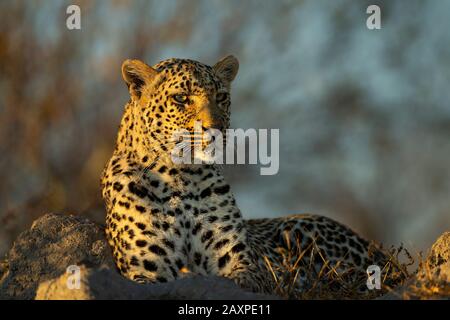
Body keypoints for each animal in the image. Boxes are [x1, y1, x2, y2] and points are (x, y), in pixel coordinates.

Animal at [102, 55, 400, 298]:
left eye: (221, 97)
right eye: (181, 98)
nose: (216, 129)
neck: (181, 176)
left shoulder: (239, 259)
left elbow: (241, 280)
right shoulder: (148, 269)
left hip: (302, 227)